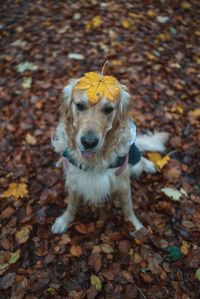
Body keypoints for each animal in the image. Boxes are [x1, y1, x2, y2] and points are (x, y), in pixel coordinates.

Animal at [50, 72, 169, 234]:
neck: (94, 161)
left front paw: (136, 227)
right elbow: (71, 204)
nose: (89, 142)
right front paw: (65, 220)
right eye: (80, 106)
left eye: (108, 109)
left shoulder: (123, 184)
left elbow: (128, 208)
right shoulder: (74, 181)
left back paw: (149, 165)